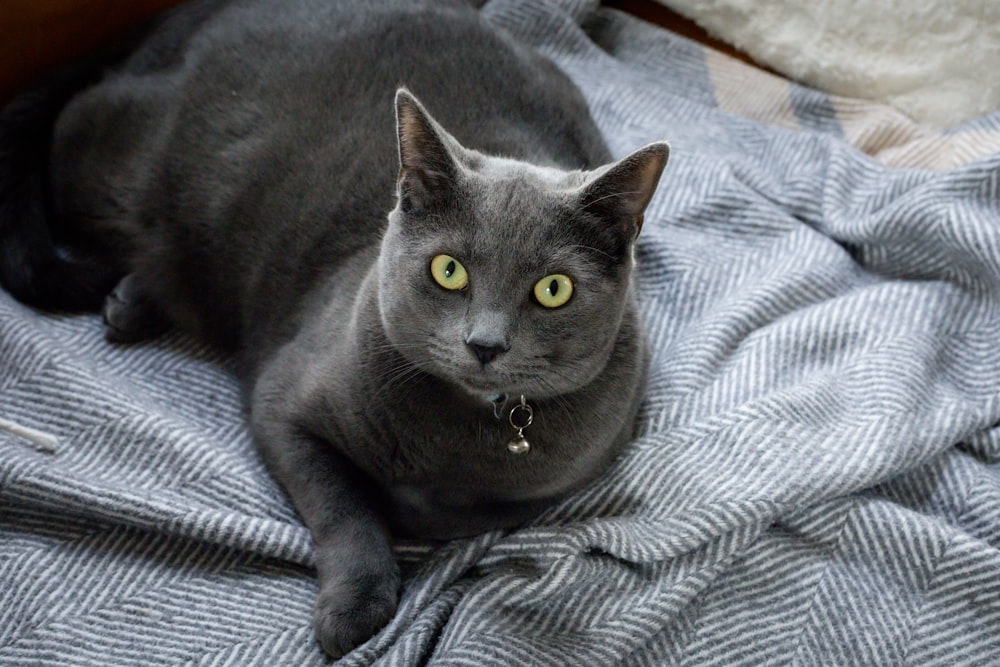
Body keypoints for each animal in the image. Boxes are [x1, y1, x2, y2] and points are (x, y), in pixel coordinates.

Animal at [1, 0, 672, 656]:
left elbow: (470, 512)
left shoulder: (574, 470)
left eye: (553, 290)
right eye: (449, 270)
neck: (463, 430)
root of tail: (184, 16)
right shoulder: (284, 407)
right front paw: (355, 609)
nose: (484, 344)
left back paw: (132, 301)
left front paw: (412, 510)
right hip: (112, 165)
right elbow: (345, 508)